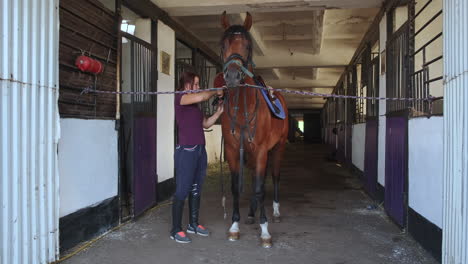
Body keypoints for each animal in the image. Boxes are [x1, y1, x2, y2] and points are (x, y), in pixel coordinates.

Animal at [213, 11, 288, 249]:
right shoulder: (233, 150)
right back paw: (251, 214)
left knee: (274, 177)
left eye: (247, 45)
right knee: (258, 177)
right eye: (223, 44)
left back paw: (275, 212)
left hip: (278, 148)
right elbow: (236, 187)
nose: (232, 77)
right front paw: (235, 226)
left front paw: (265, 231)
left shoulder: (263, 150)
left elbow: (259, 188)